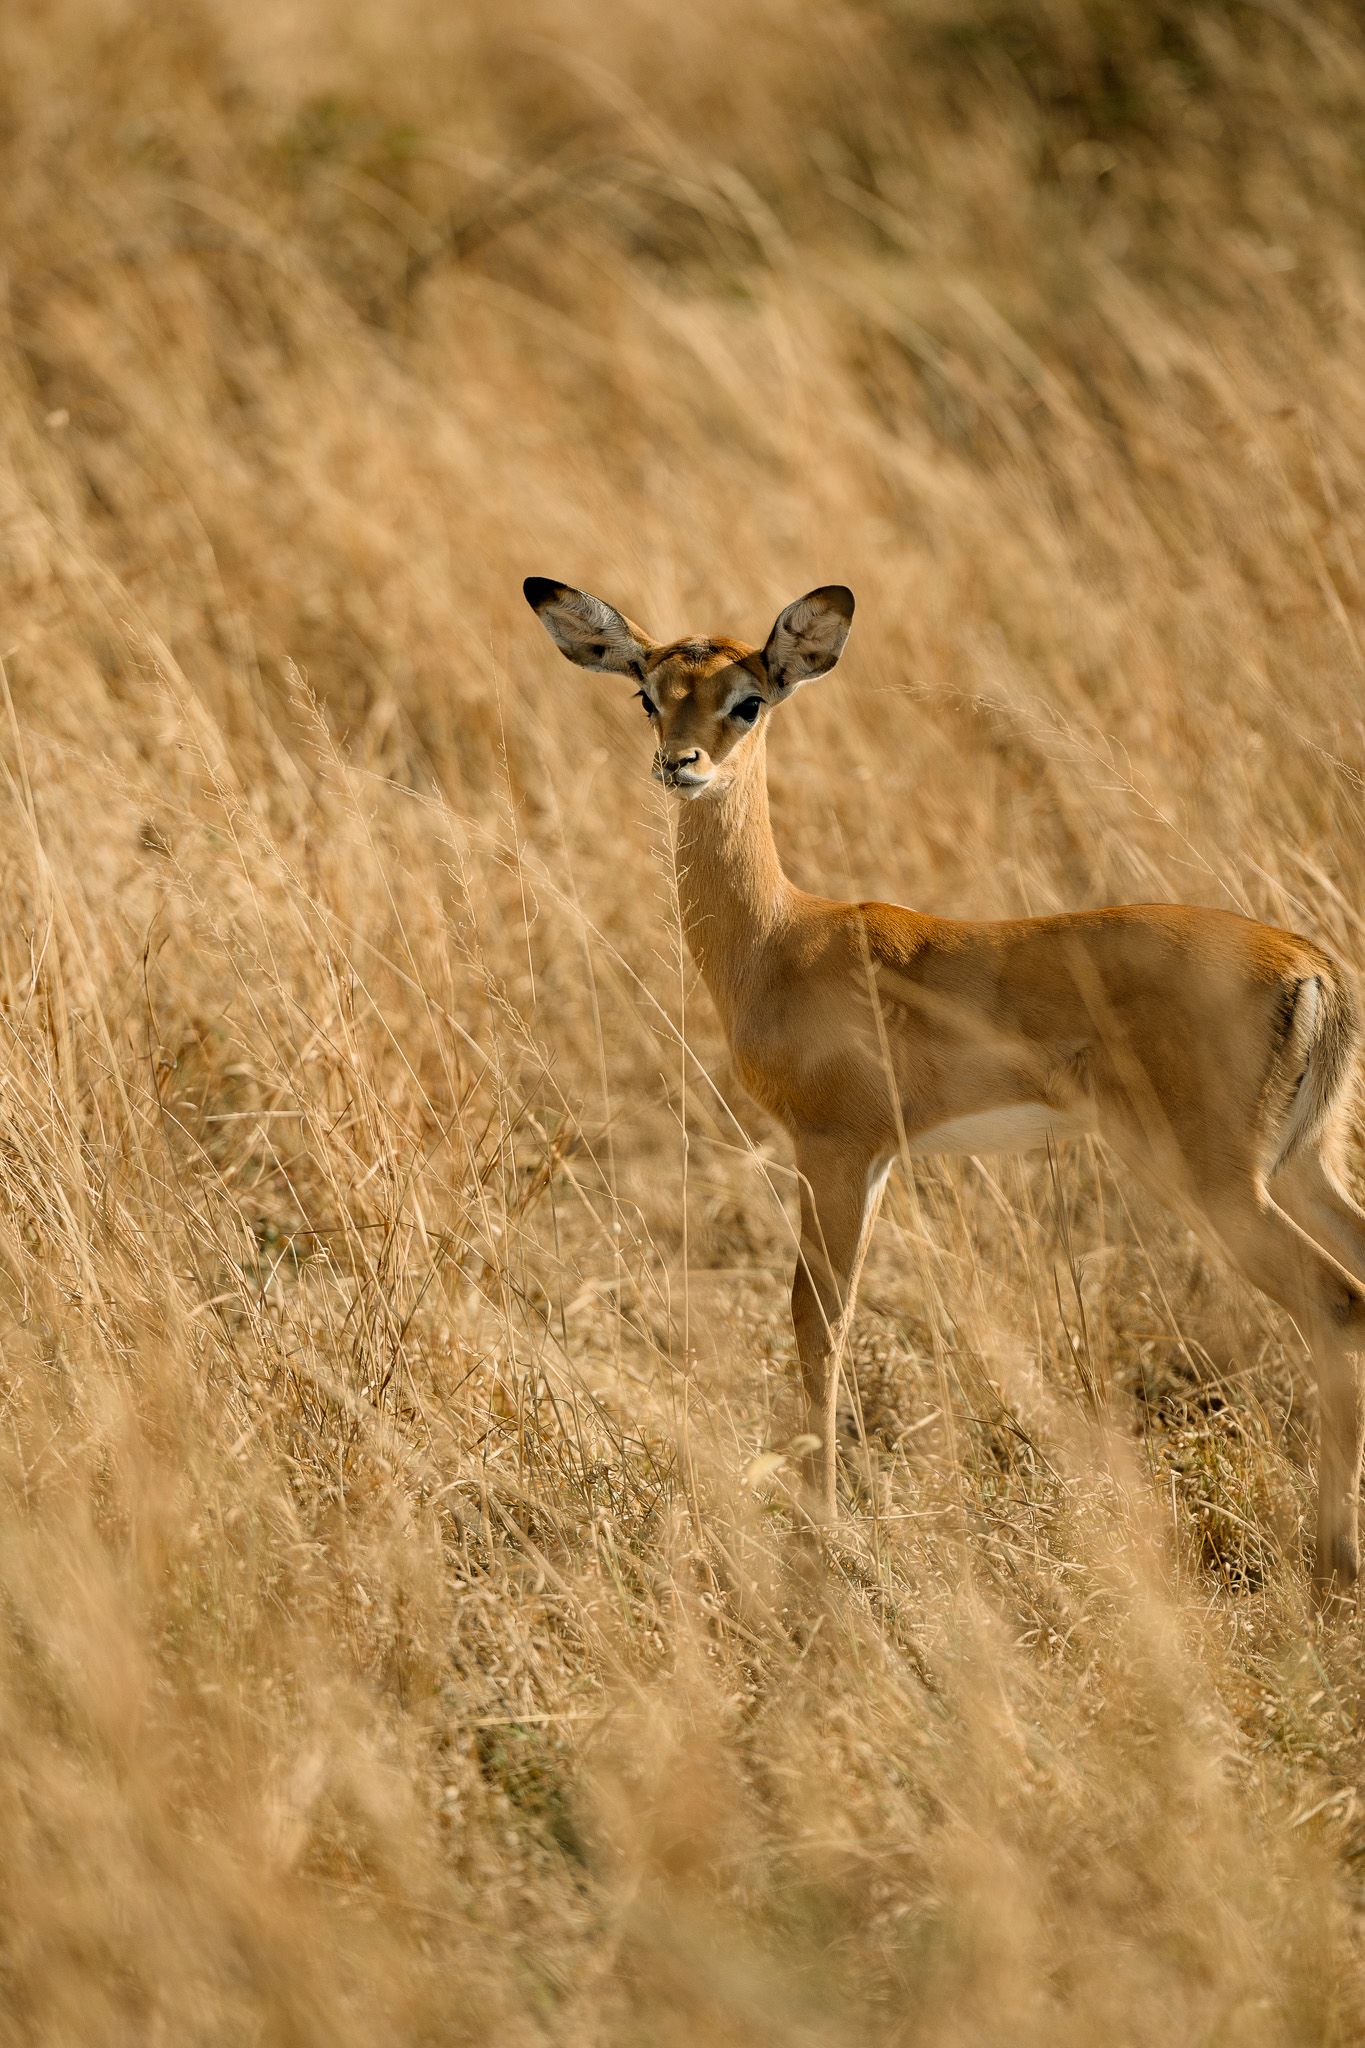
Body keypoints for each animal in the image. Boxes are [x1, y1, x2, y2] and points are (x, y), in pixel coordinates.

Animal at [525, 576, 1365, 1598]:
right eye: (648, 694)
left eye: (748, 699)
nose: (680, 766)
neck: (780, 939)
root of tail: (1312, 964)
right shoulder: (876, 1158)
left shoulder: (836, 1148)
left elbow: (817, 1320)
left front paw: (825, 1532)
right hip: (1301, 1166)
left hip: (1216, 1181)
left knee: (1335, 1304)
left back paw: (1330, 1566)